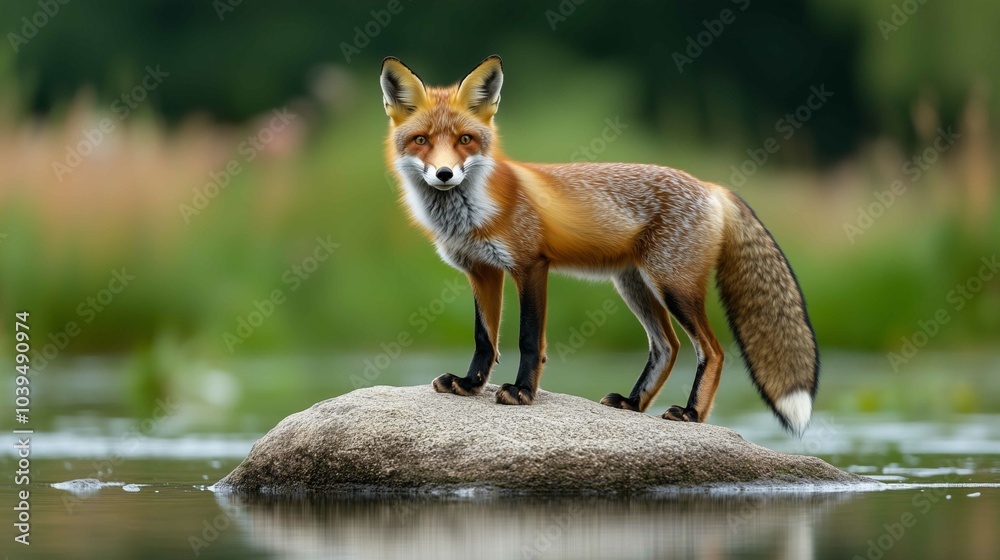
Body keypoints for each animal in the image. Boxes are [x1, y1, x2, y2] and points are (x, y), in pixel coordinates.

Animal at [380, 55, 819, 434]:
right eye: (421, 140)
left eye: (465, 139)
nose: (444, 173)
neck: (472, 214)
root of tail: (712, 187)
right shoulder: (482, 271)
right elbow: (484, 338)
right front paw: (470, 384)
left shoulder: (530, 265)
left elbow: (528, 338)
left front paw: (522, 392)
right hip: (634, 286)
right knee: (668, 347)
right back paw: (633, 402)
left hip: (673, 287)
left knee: (712, 350)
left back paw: (691, 412)